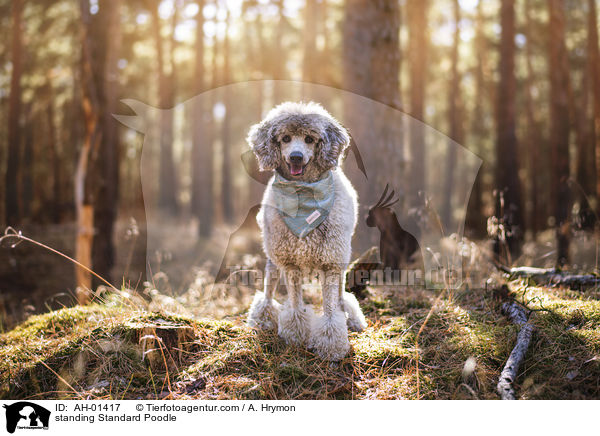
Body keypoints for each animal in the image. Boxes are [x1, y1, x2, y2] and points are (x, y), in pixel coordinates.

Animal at [244, 102, 366, 362]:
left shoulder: (330, 262)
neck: (303, 194)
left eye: (310, 139)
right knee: (268, 291)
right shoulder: (290, 262)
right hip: (272, 257)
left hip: (340, 260)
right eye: (285, 138)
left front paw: (331, 347)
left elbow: (330, 311)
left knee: (341, 295)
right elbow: (295, 304)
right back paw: (262, 318)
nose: (296, 157)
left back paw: (349, 316)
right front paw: (295, 336)